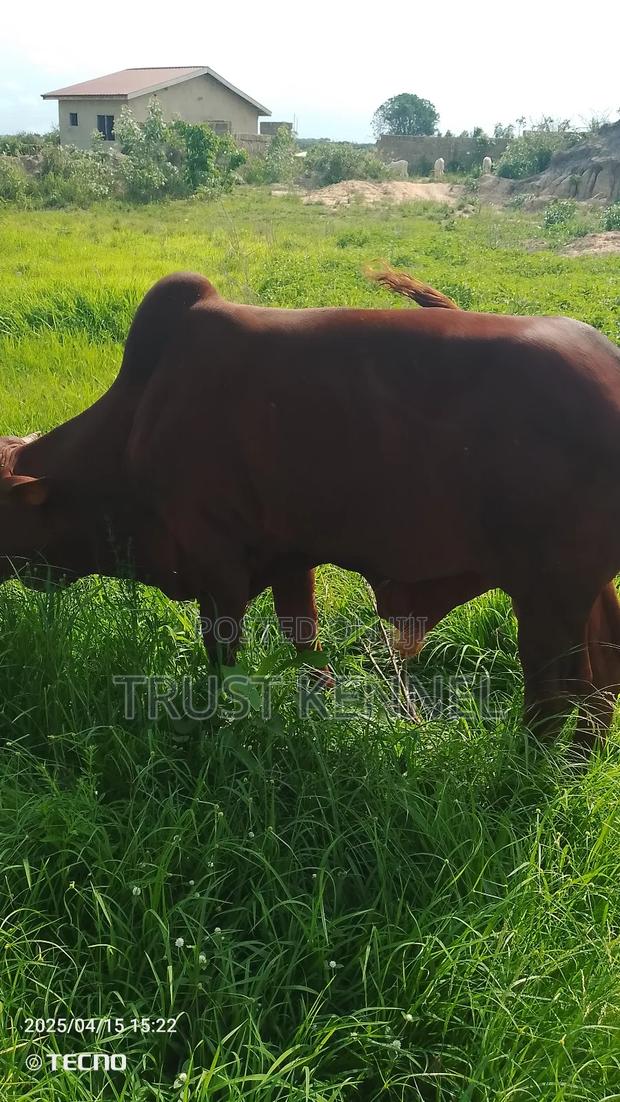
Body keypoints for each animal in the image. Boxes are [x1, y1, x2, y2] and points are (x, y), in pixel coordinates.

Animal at [2, 269, 620, 754]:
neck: (135, 426)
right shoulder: (289, 556)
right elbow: (304, 641)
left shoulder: (217, 568)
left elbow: (224, 660)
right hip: (584, 590)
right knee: (603, 679)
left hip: (548, 594)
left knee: (557, 691)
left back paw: (530, 768)